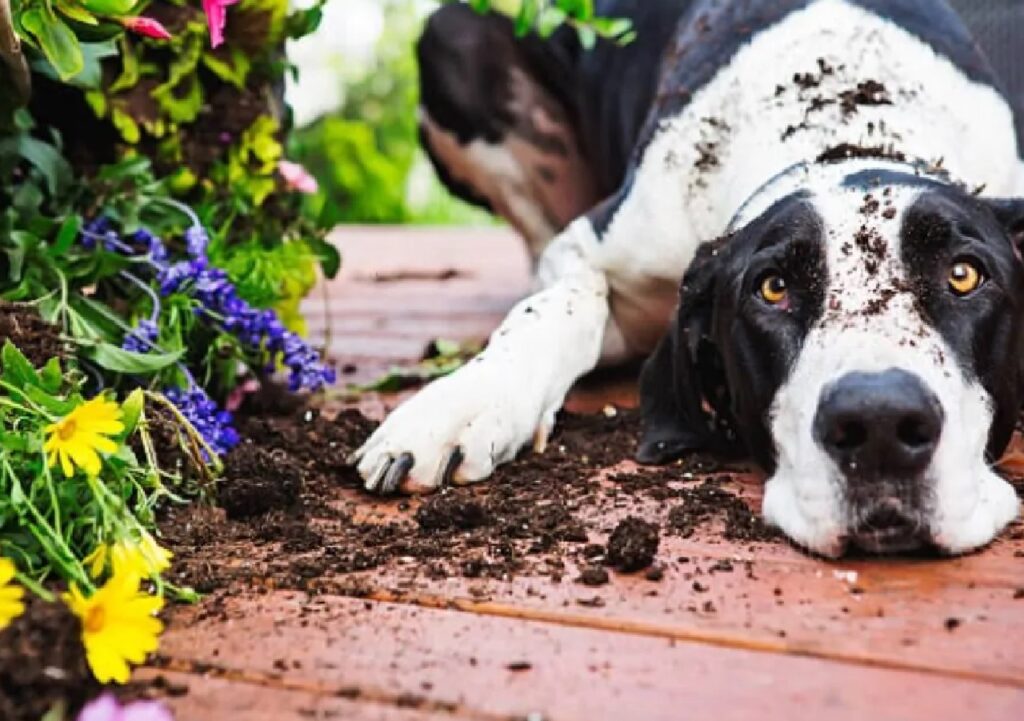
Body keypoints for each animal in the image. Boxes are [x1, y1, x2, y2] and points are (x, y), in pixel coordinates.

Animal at [352, 0, 1024, 557]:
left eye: (964, 275)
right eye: (773, 287)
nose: (880, 424)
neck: (846, 129)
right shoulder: (593, 247)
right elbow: (557, 308)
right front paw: (464, 403)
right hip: (453, 38)